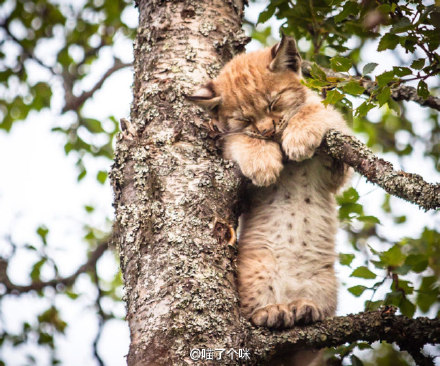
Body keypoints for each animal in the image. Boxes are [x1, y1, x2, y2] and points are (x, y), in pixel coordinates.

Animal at [189, 37, 350, 332]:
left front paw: (299, 134)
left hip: (324, 279)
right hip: (257, 267)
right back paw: (270, 311)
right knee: (252, 312)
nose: (267, 131)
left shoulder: (337, 168)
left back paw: (305, 308)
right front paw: (262, 161)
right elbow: (238, 139)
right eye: (245, 119)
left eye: (274, 103)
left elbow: (316, 109)